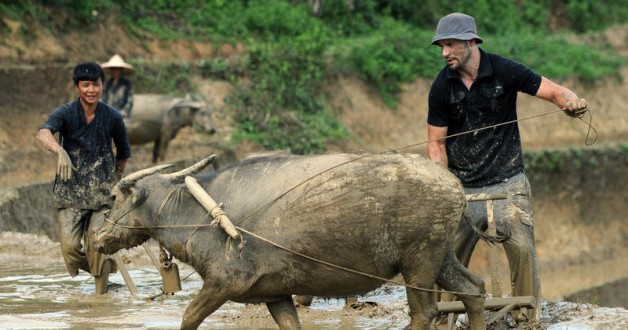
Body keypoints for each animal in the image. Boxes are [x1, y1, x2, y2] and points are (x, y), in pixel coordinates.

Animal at [93, 153, 488, 330]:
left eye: (112, 197)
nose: (97, 238)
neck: (197, 213)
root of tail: (454, 185)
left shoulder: (222, 284)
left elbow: (188, 317)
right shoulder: (276, 295)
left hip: (418, 263)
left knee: (426, 312)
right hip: (441, 257)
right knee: (473, 289)